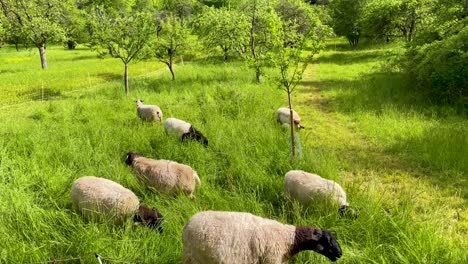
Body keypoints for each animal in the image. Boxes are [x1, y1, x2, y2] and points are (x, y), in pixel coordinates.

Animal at [182, 210, 340, 264]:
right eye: (328, 240)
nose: (340, 253)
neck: (288, 238)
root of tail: (188, 225)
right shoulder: (271, 259)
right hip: (198, 258)